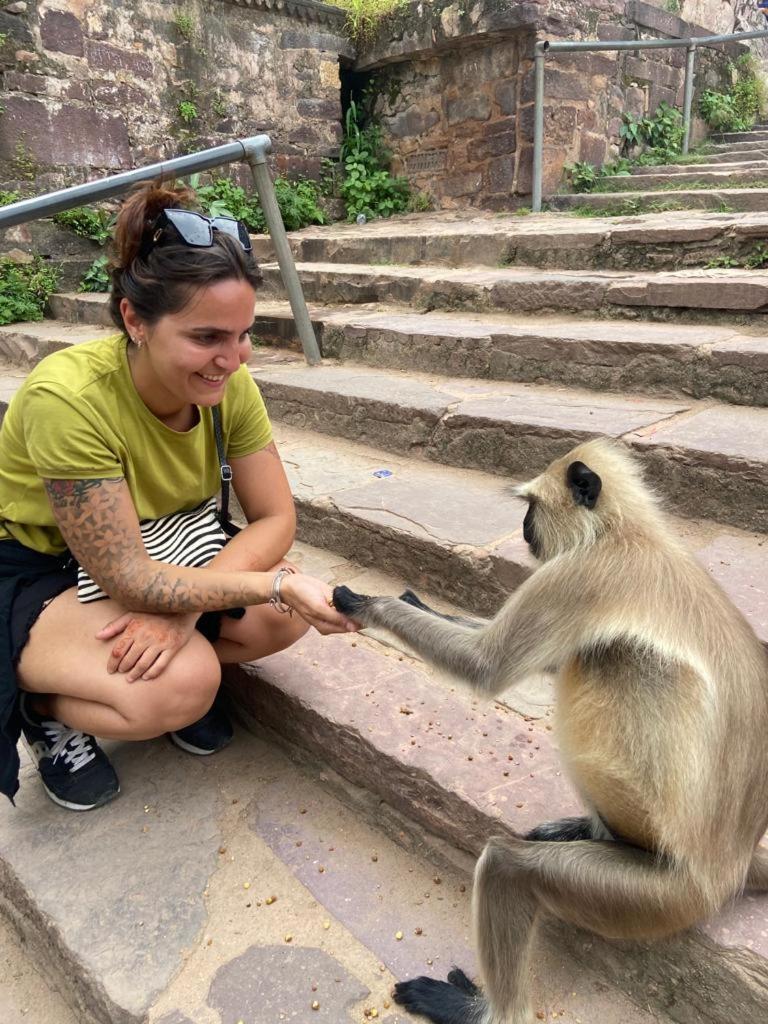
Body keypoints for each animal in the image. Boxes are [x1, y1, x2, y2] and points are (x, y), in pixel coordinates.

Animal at [333, 438, 768, 1024]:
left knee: (510, 864)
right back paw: (593, 830)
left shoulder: (580, 575)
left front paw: (369, 604)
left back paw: (483, 1010)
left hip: (659, 897)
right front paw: (414, 602)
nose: (522, 528)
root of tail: (733, 866)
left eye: (532, 508)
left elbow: (487, 665)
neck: (626, 533)